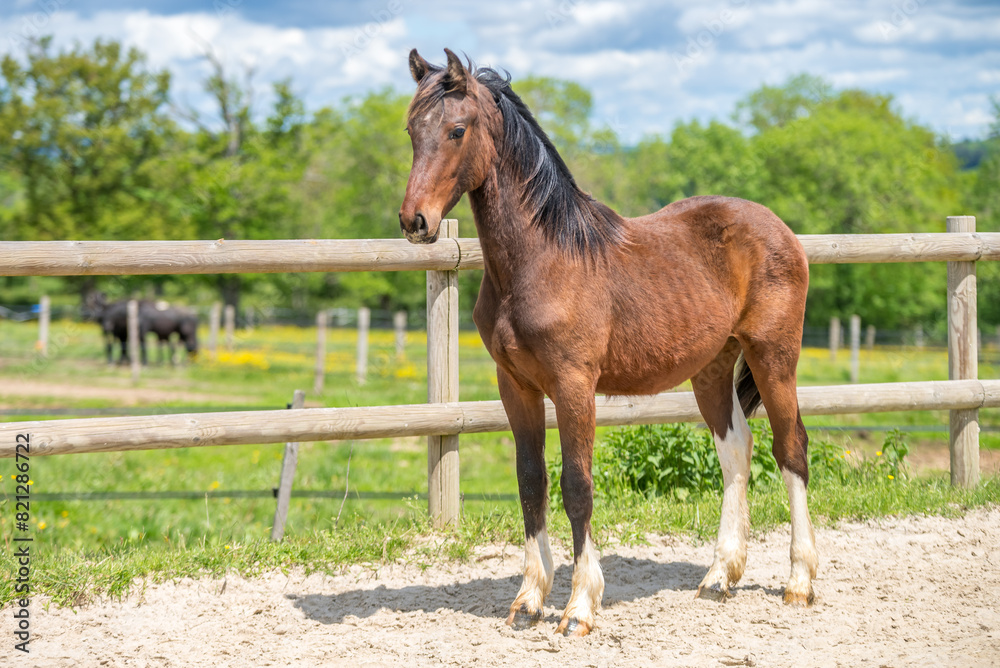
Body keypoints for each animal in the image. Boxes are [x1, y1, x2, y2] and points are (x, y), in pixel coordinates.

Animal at [399, 50, 816, 638]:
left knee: (790, 448)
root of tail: (780, 229)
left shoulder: (574, 385)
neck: (543, 258)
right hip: (712, 368)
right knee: (736, 449)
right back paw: (719, 577)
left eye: (457, 130)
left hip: (774, 357)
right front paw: (529, 599)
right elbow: (531, 482)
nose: (415, 220)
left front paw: (579, 606)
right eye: (413, 130)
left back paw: (799, 582)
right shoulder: (516, 386)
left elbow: (577, 485)